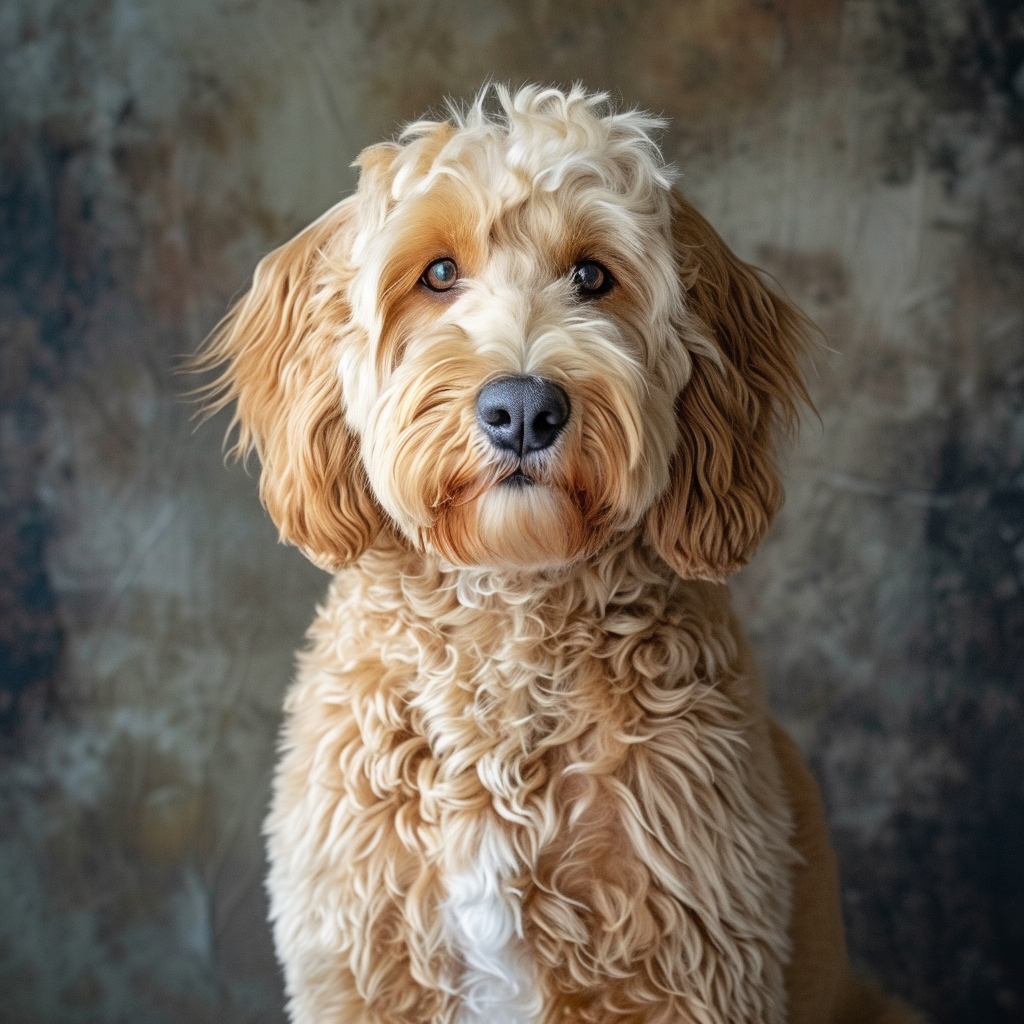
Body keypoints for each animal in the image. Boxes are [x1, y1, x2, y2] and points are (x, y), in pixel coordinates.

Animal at [195, 86, 917, 1024]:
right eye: (438, 274)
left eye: (592, 276)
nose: (523, 409)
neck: (507, 630)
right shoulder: (360, 962)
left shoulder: (688, 962)